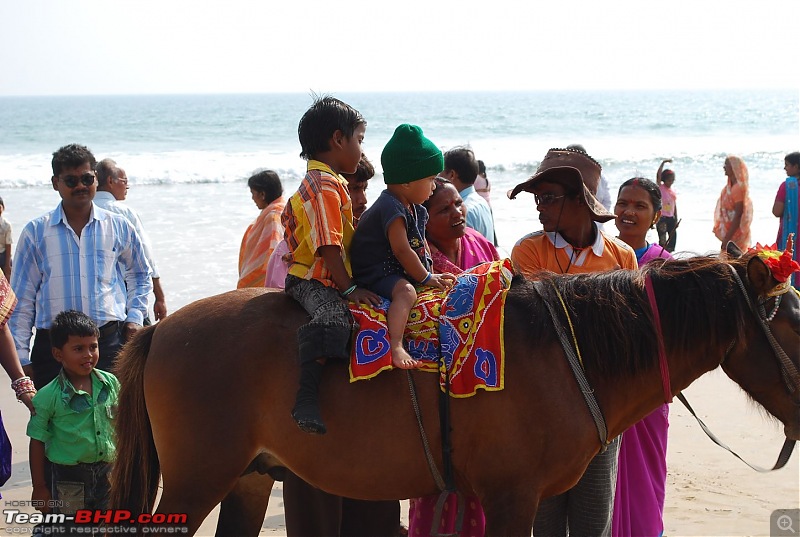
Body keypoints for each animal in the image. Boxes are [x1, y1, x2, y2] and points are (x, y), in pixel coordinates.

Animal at [111, 249, 800, 532]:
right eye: (790, 316)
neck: (566, 351)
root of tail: (159, 329)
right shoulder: (511, 498)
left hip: (249, 479)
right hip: (198, 481)